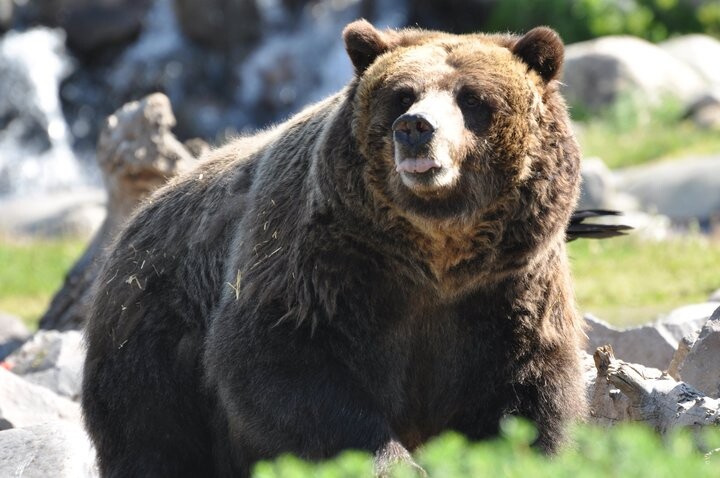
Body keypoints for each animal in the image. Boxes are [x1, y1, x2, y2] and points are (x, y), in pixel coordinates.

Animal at [82, 20, 585, 477]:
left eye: (472, 98)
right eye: (403, 95)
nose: (415, 127)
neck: (435, 256)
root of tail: (139, 215)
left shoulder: (507, 292)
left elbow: (526, 395)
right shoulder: (316, 266)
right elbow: (282, 368)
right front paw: (394, 463)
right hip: (154, 341)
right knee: (155, 440)